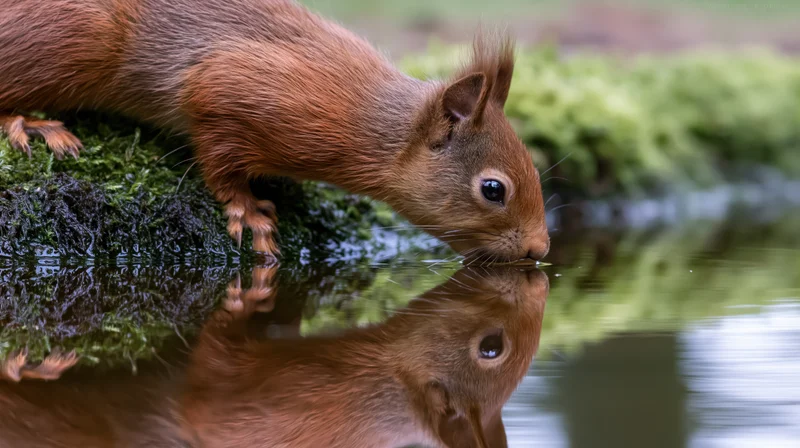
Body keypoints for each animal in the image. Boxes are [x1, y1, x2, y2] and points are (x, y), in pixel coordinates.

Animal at [0, 0, 550, 262]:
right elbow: (218, 158)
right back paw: (30, 122)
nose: (539, 251)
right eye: (493, 189)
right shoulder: (232, 93)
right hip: (71, 37)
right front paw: (248, 209)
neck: (371, 126)